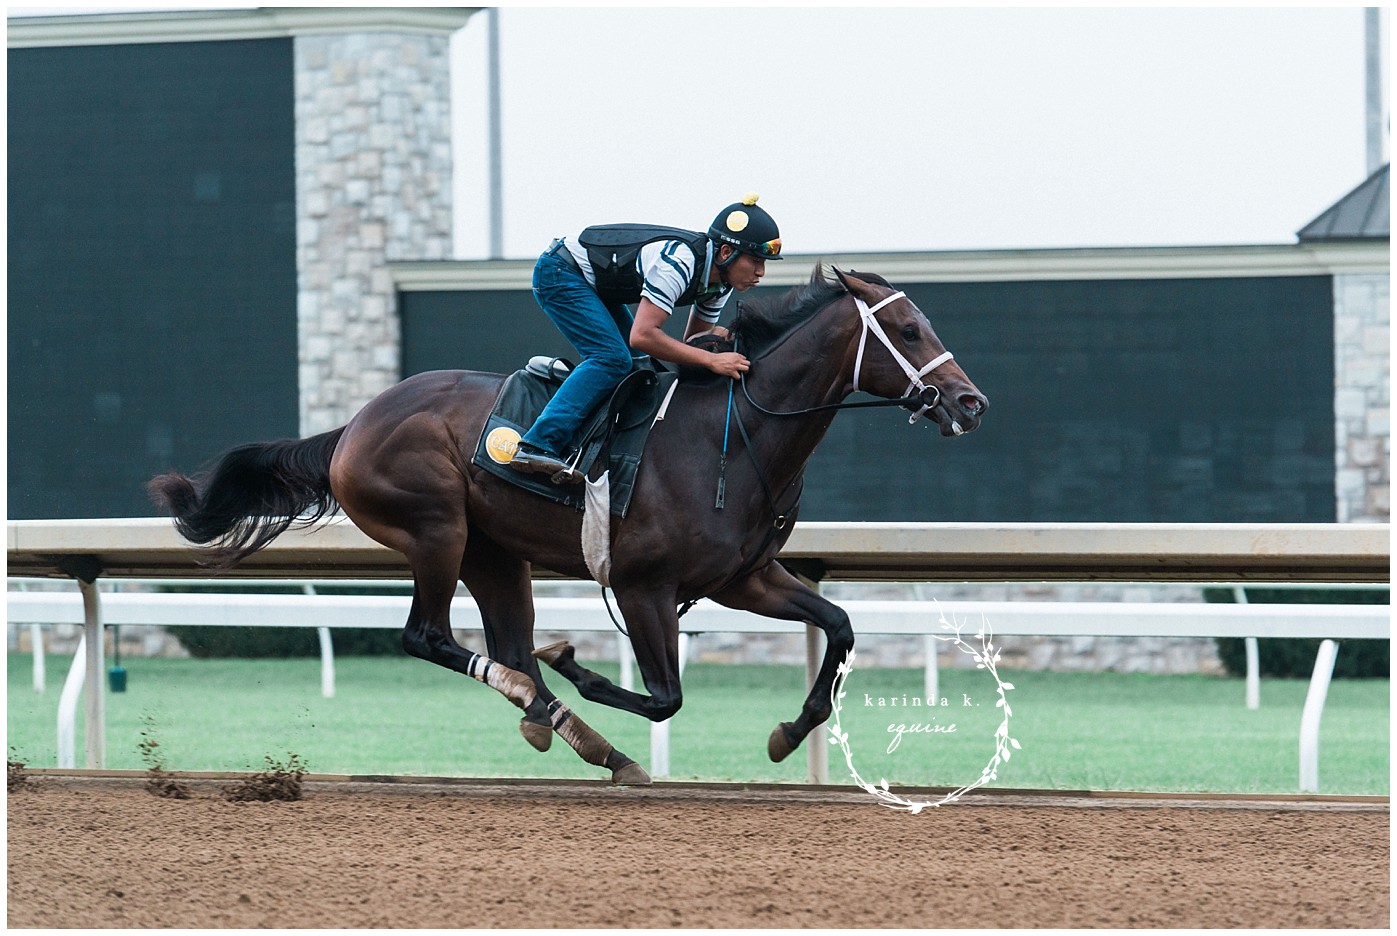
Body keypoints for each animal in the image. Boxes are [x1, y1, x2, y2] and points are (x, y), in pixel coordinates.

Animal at [149, 265, 988, 784]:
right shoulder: (645, 585)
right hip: (436, 529)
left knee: (505, 645)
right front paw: (575, 663)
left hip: (494, 553)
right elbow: (663, 695)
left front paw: (788, 732)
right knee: (430, 638)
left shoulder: (742, 577)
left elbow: (838, 625)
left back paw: (574, 731)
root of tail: (351, 427)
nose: (969, 402)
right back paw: (558, 711)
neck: (733, 436)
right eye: (907, 330)